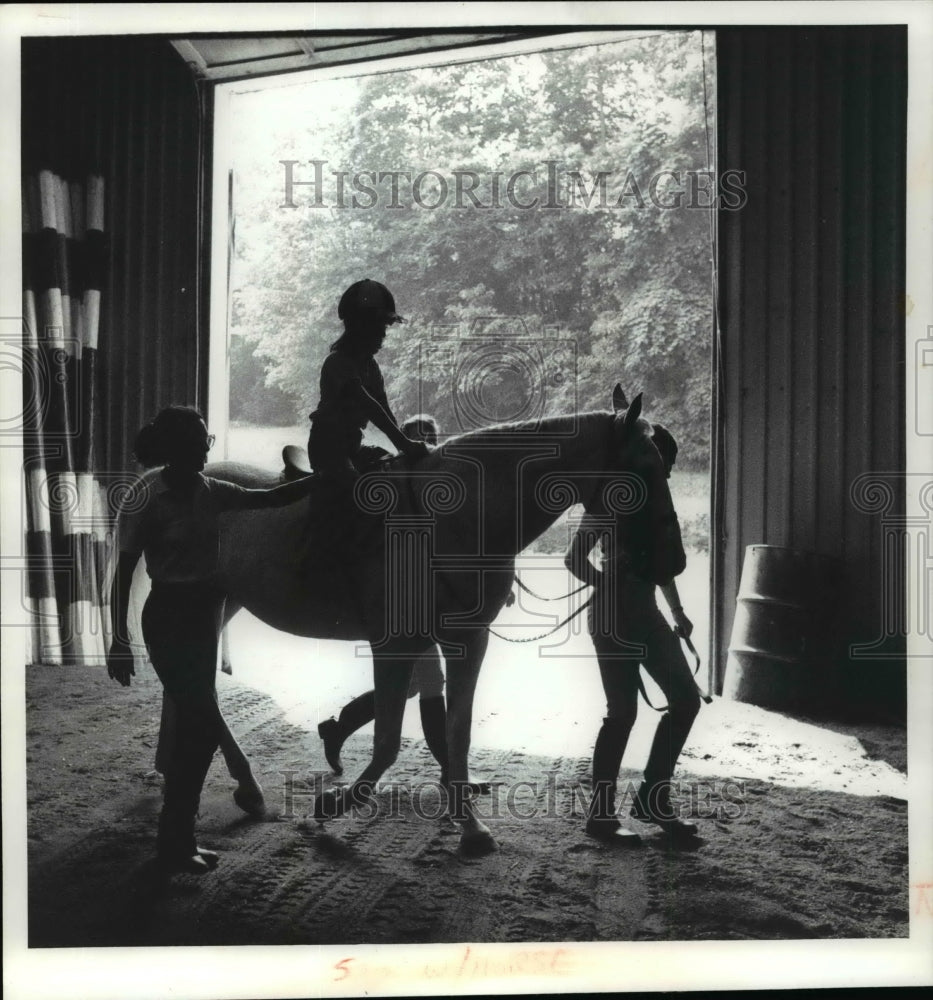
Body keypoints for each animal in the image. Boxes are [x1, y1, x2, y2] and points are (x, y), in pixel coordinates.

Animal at [202, 386, 684, 856]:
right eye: (644, 469)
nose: (673, 562)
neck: (455, 520)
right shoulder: (394, 644)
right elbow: (388, 739)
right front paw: (335, 804)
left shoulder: (467, 640)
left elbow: (457, 730)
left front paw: (470, 824)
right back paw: (248, 785)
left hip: (225, 602)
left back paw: (249, 785)